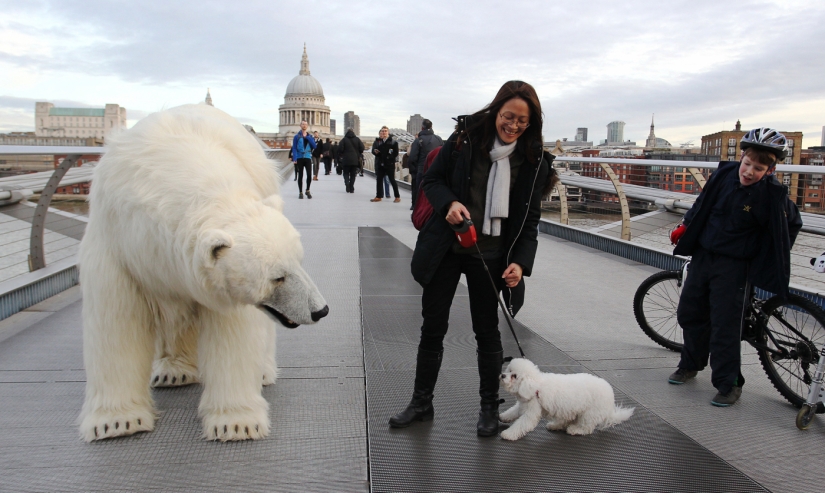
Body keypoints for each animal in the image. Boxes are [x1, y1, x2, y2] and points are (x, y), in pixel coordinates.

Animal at [77, 104, 328, 442]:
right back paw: (173, 371)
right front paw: (116, 422)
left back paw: (260, 371)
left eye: (298, 261)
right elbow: (116, 321)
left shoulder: (224, 284)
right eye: (278, 277)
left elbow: (232, 332)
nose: (320, 310)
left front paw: (236, 423)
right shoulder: (118, 247)